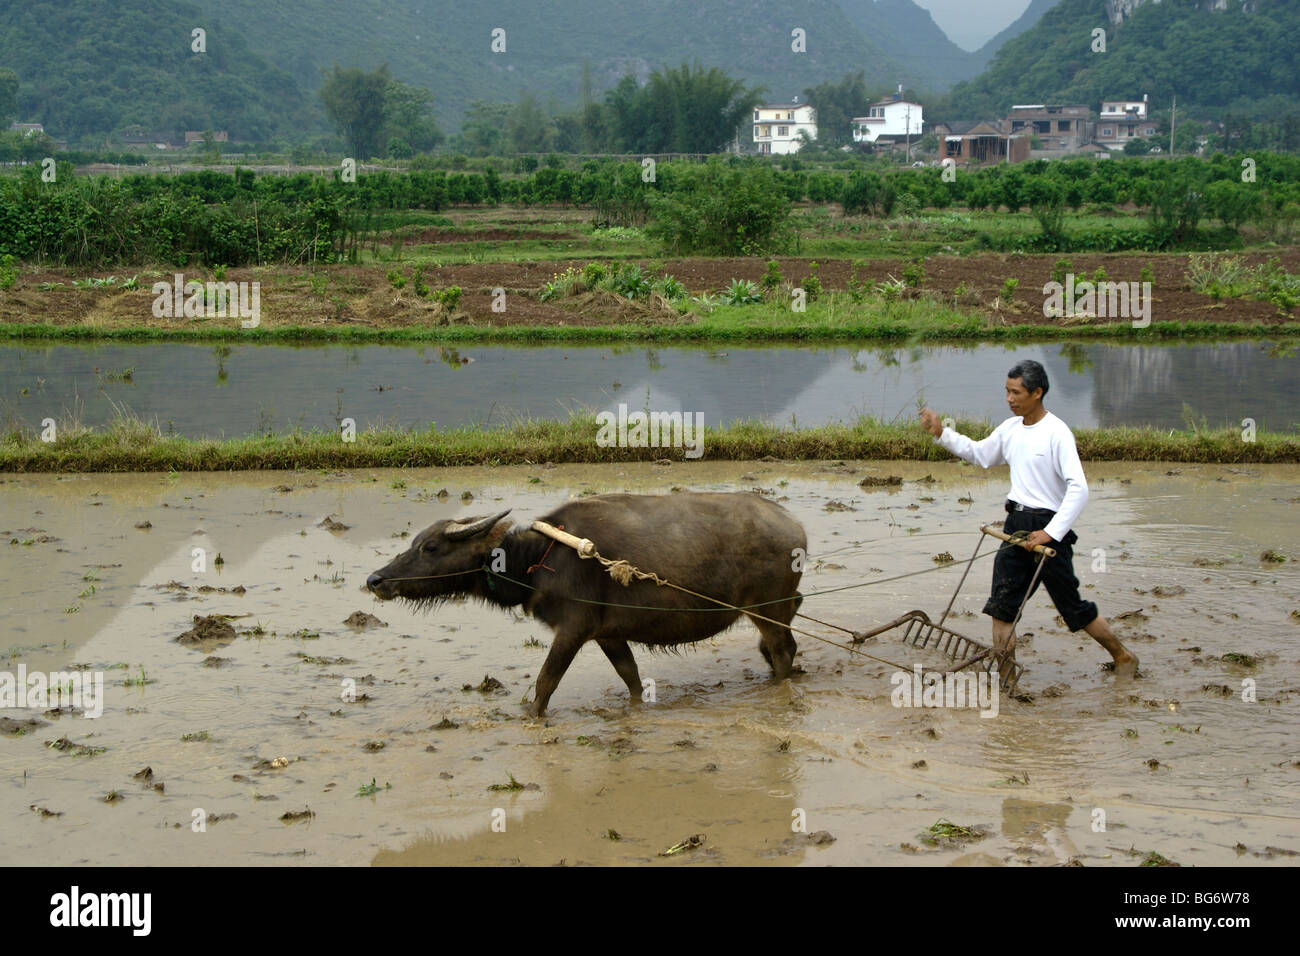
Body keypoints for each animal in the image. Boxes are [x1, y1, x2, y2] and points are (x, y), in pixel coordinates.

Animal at [366, 496, 806, 712]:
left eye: (431, 547)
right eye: (414, 542)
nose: (376, 580)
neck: (536, 558)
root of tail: (793, 525)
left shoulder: (573, 629)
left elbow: (545, 682)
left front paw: (531, 717)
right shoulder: (607, 634)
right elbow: (631, 677)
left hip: (769, 608)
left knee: (783, 650)